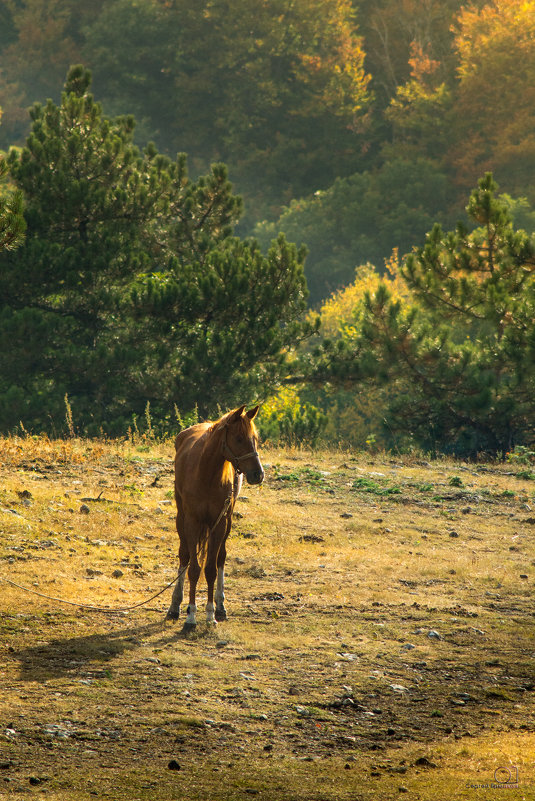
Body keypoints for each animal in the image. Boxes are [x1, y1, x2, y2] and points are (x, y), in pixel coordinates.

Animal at [164, 404, 262, 628]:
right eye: (239, 439)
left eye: (255, 438)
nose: (258, 474)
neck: (206, 474)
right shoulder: (192, 522)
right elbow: (193, 568)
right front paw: (190, 617)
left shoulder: (219, 523)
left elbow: (210, 569)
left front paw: (209, 614)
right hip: (181, 519)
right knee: (184, 556)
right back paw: (175, 606)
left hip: (227, 522)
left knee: (220, 558)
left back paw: (220, 606)